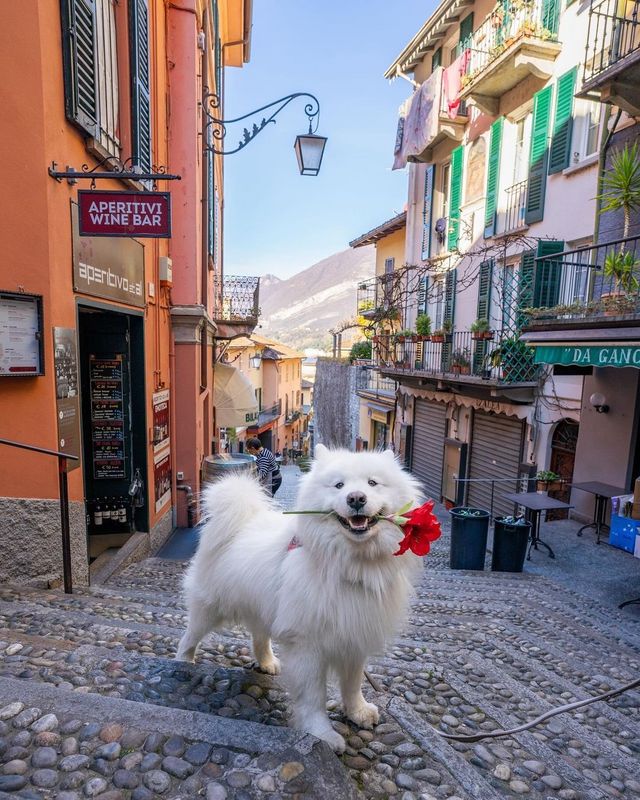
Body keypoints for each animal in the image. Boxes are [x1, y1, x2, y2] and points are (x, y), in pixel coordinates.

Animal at [176, 444, 424, 752]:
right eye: (339, 485)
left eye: (372, 483)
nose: (356, 498)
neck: (348, 565)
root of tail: (242, 520)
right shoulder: (309, 645)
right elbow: (314, 696)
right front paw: (322, 734)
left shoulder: (354, 635)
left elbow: (353, 683)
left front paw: (357, 712)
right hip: (209, 607)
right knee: (189, 636)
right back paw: (183, 662)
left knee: (259, 636)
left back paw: (267, 662)